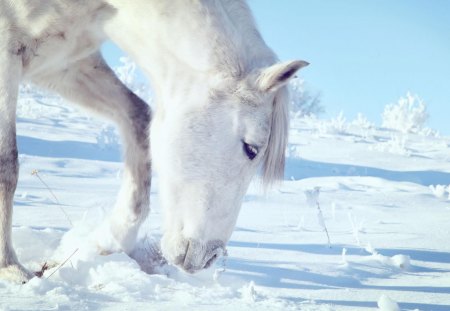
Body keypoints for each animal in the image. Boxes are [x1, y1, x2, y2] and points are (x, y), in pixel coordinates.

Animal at [0, 0, 308, 282]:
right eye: (251, 149)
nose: (209, 257)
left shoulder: (64, 63)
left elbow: (138, 119)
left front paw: (111, 240)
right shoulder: (8, 52)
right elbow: (7, 166)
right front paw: (11, 268)